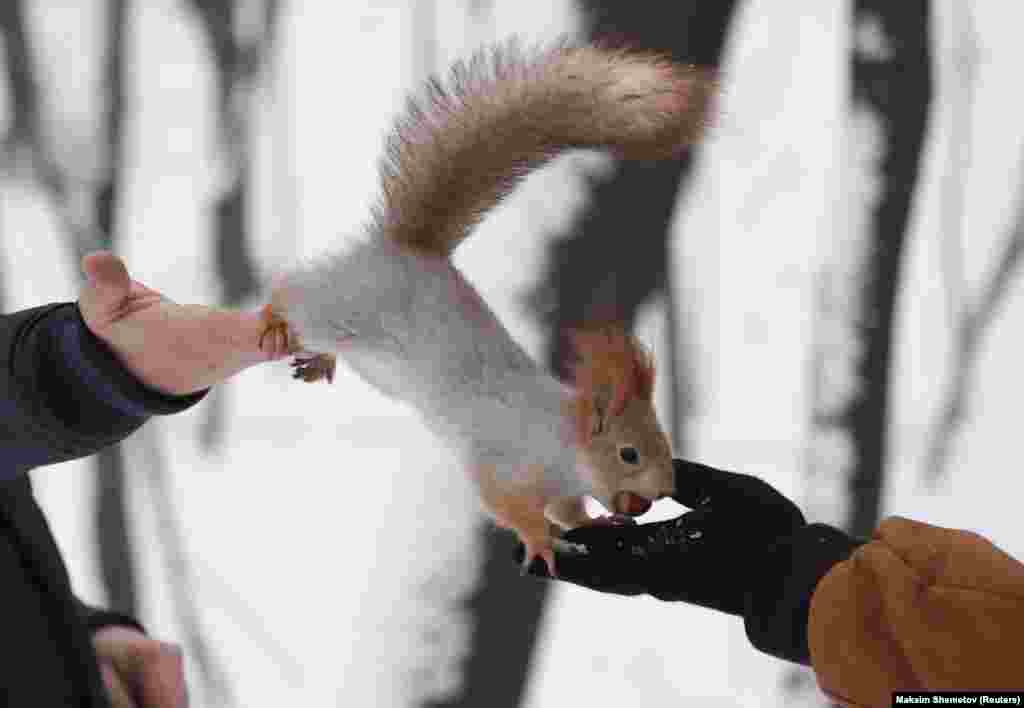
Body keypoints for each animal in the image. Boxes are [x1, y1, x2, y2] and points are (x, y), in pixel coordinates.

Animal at [258, 37, 712, 577]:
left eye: (662, 442)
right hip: (349, 309)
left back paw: (321, 360)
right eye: (628, 454)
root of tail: (408, 252)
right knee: (298, 293)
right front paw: (539, 540)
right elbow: (506, 503)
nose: (664, 490)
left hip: (375, 365)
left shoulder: (562, 488)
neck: (563, 444)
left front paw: (593, 522)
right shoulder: (502, 461)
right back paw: (273, 317)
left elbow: (568, 510)